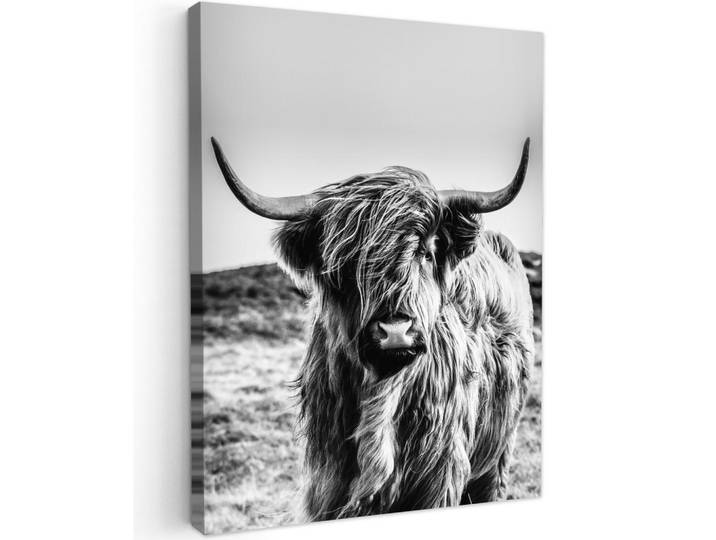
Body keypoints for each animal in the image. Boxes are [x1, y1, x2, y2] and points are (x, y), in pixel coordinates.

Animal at [211, 137, 535, 520]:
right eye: (345, 263)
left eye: (425, 251)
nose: (395, 330)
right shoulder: (326, 481)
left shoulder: (440, 476)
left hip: (499, 454)